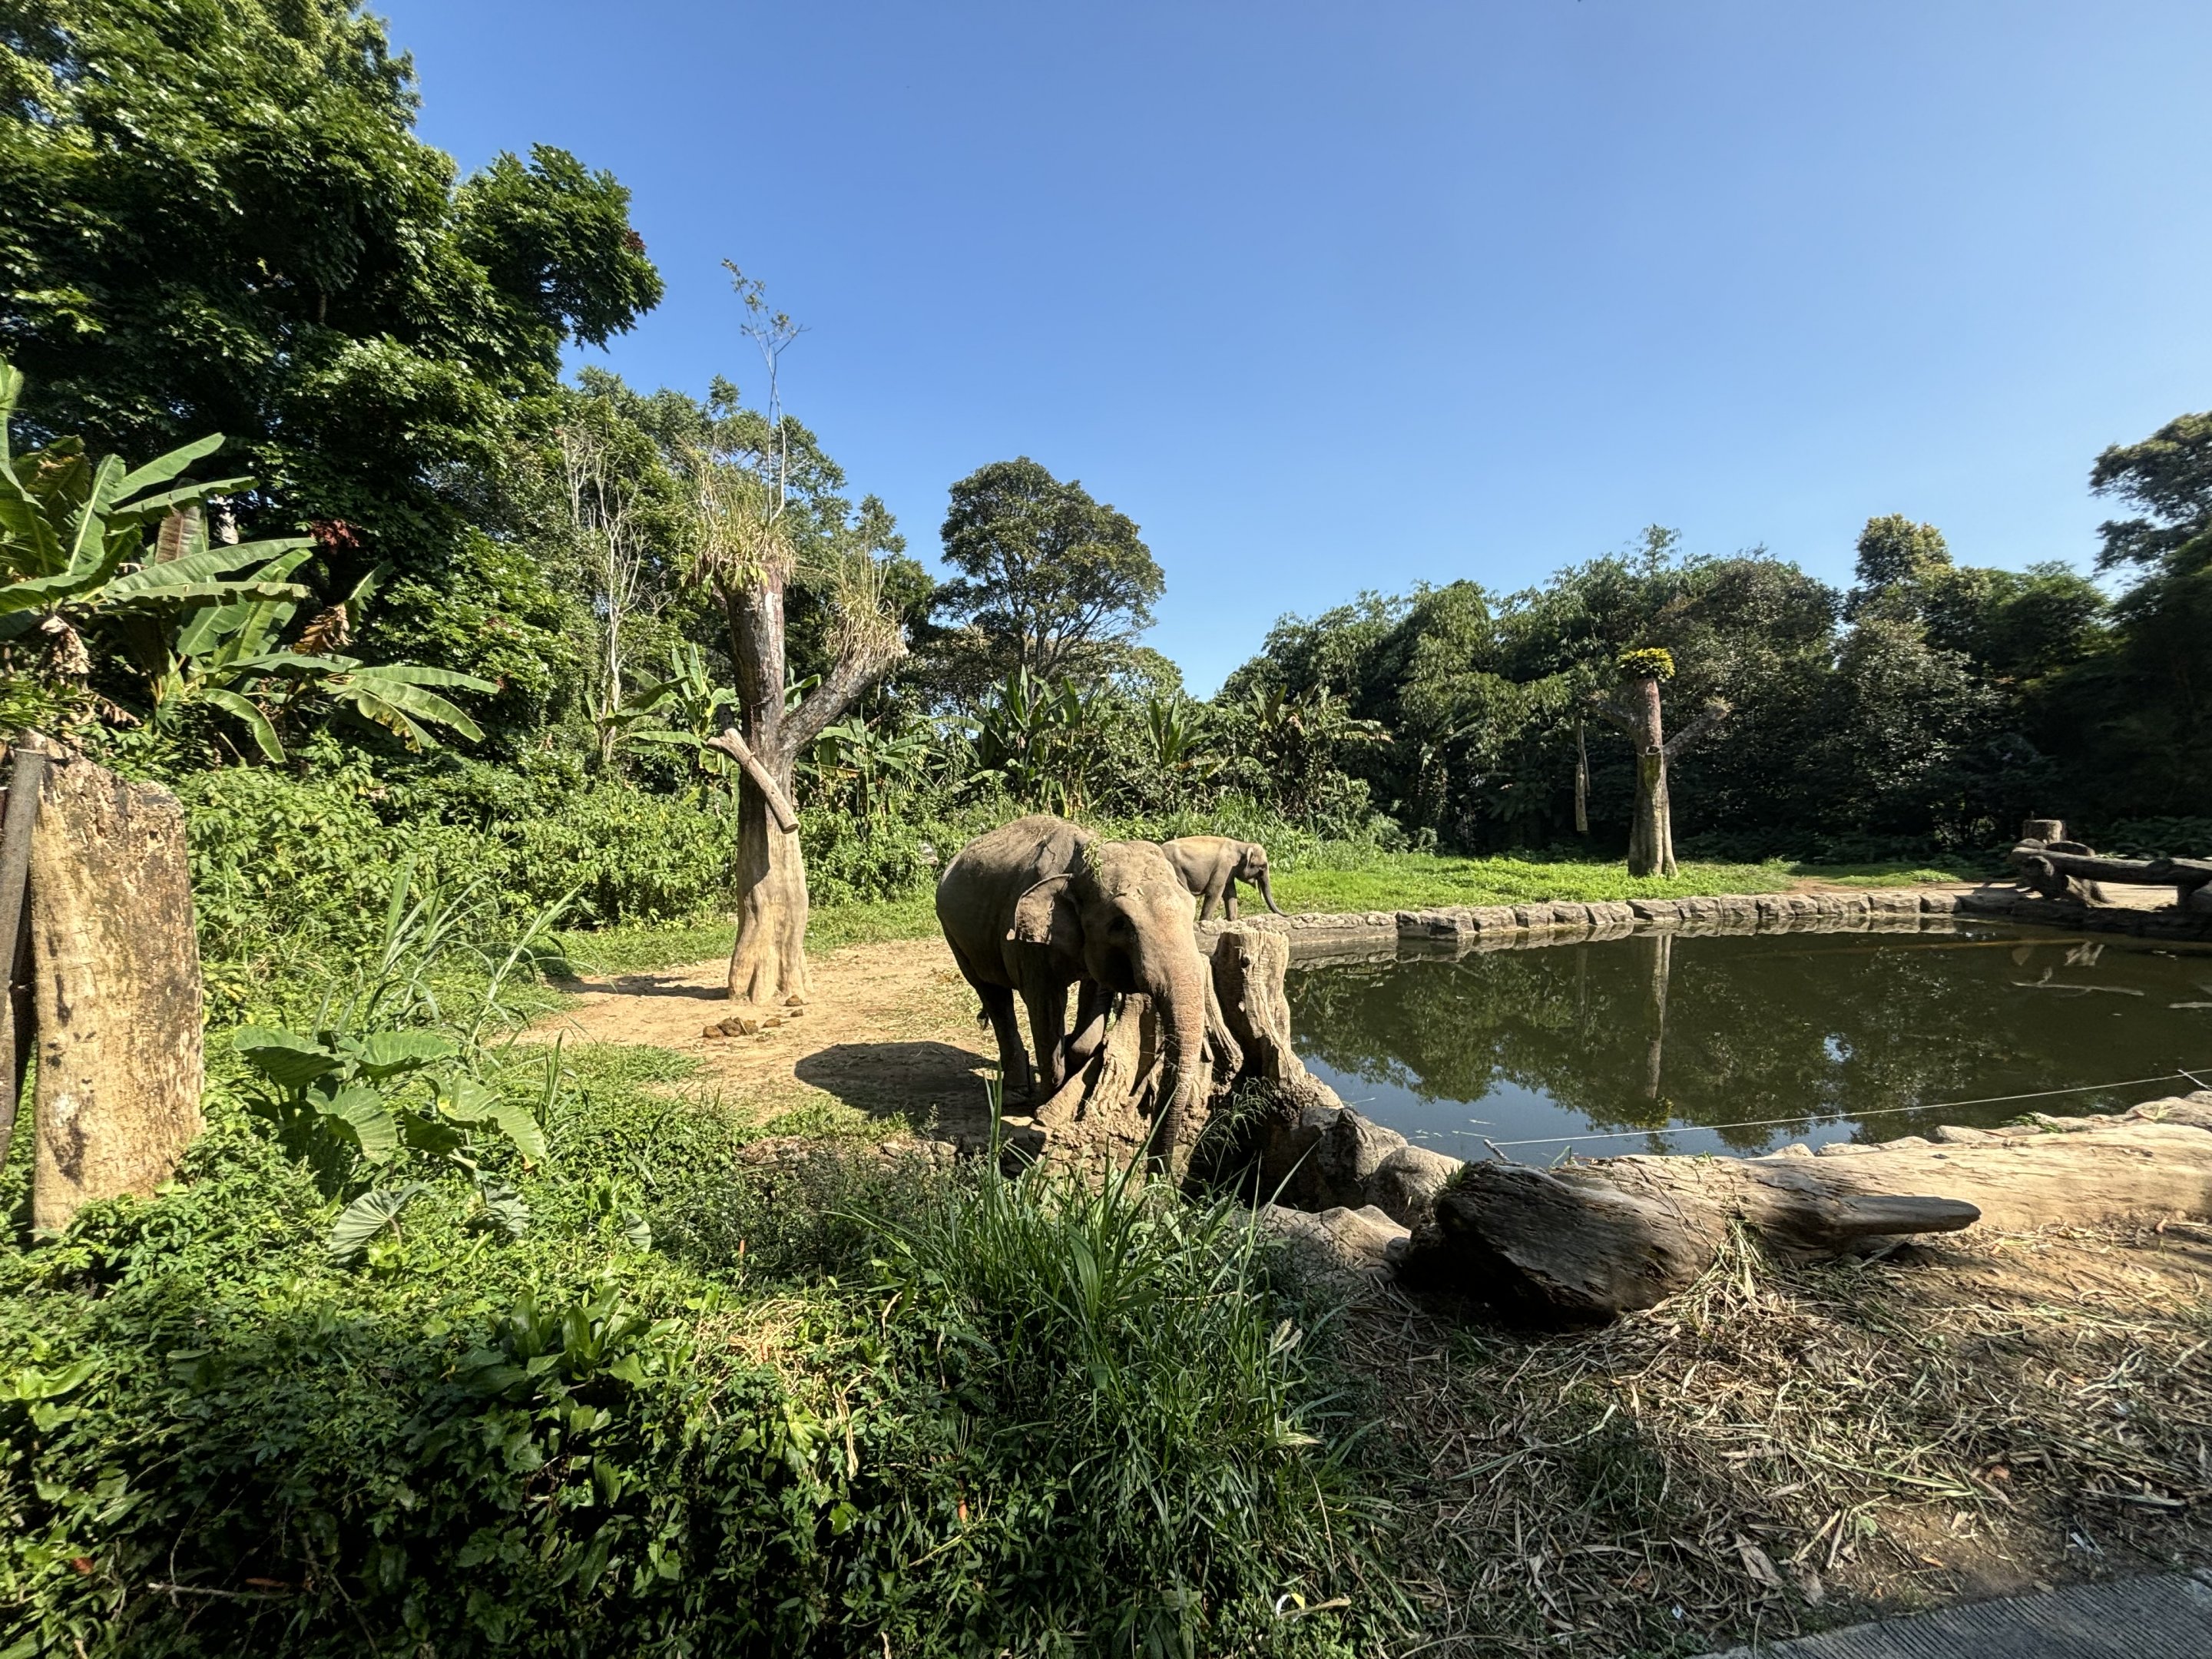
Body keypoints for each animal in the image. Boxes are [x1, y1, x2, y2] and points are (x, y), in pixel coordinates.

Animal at [936, 815, 1228, 1139]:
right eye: (1120, 924)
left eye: (1191, 908)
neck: (1083, 859)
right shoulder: (1028, 943)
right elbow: (1046, 1008)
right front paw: (1046, 1101)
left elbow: (1095, 996)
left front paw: (1072, 1049)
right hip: (954, 935)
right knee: (992, 994)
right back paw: (1016, 1094)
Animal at [1159, 835, 1283, 921]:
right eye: (1262, 867)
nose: (1286, 915)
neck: (1242, 845)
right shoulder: (1224, 865)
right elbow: (1215, 891)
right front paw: (1204, 921)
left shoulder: (1230, 871)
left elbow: (1231, 893)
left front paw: (1232, 920)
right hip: (1176, 868)